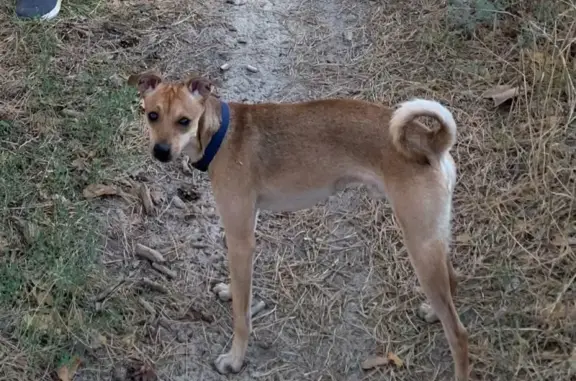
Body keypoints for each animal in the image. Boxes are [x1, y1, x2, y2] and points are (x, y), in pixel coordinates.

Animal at [128, 71, 470, 380]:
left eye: (184, 121)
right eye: (152, 115)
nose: (160, 151)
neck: (222, 135)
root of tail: (429, 141)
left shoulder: (240, 239)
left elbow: (242, 315)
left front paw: (235, 360)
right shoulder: (245, 230)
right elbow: (240, 290)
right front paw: (230, 290)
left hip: (419, 244)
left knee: (459, 333)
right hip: (431, 238)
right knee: (452, 279)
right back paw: (432, 312)